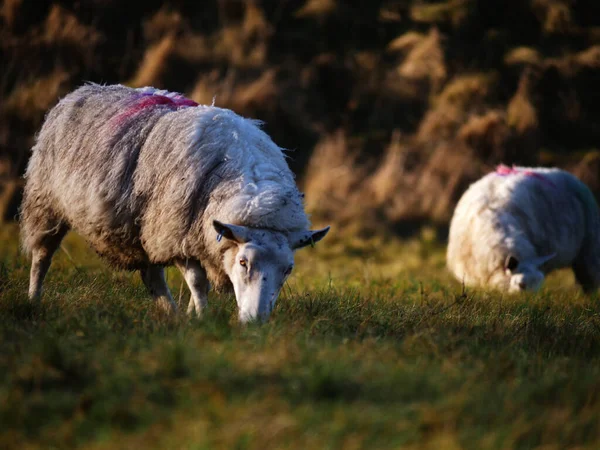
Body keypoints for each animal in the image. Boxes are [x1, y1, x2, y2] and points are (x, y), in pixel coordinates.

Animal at [19, 83, 328, 324]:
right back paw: (34, 300)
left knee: (152, 274)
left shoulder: (198, 237)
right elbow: (197, 283)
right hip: (46, 202)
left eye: (288, 269)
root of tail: (84, 88)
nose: (256, 322)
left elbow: (198, 283)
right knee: (42, 256)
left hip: (142, 226)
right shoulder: (178, 234)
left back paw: (169, 313)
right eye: (243, 262)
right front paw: (202, 318)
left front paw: (192, 315)